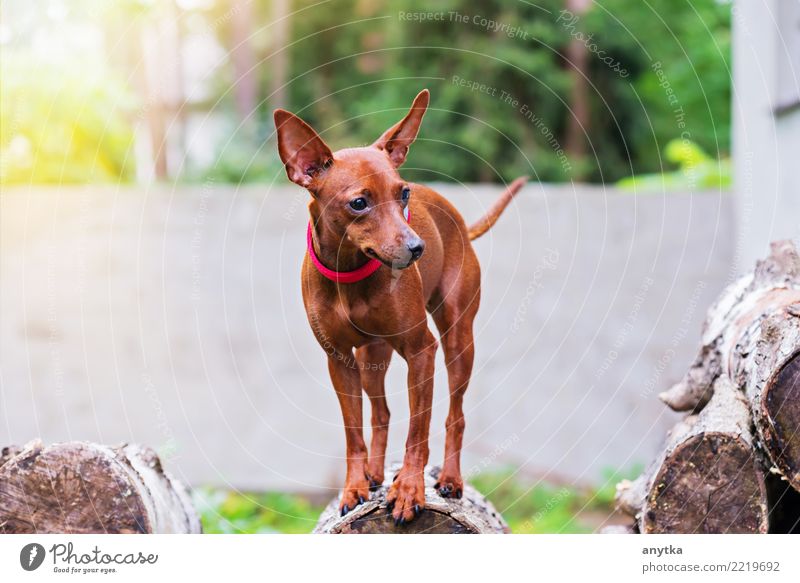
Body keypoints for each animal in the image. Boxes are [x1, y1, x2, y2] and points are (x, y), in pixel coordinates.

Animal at [272, 90, 528, 524]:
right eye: (359, 203)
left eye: (403, 193)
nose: (417, 248)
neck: (350, 275)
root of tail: (459, 220)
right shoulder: (339, 360)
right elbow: (354, 433)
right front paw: (355, 486)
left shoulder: (422, 351)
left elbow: (418, 431)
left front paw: (409, 490)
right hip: (372, 358)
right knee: (381, 414)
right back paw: (375, 473)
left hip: (457, 340)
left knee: (455, 415)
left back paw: (451, 479)